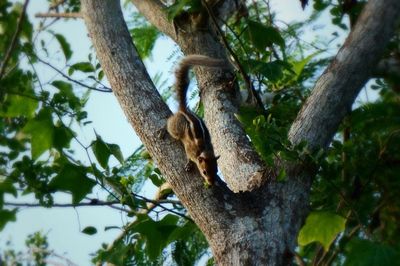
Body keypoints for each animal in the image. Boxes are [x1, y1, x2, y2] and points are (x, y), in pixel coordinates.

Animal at [167, 55, 227, 186]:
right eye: (204, 172)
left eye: (216, 171)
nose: (211, 183)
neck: (204, 151)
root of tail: (184, 110)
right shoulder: (190, 150)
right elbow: (189, 157)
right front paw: (189, 165)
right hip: (176, 127)